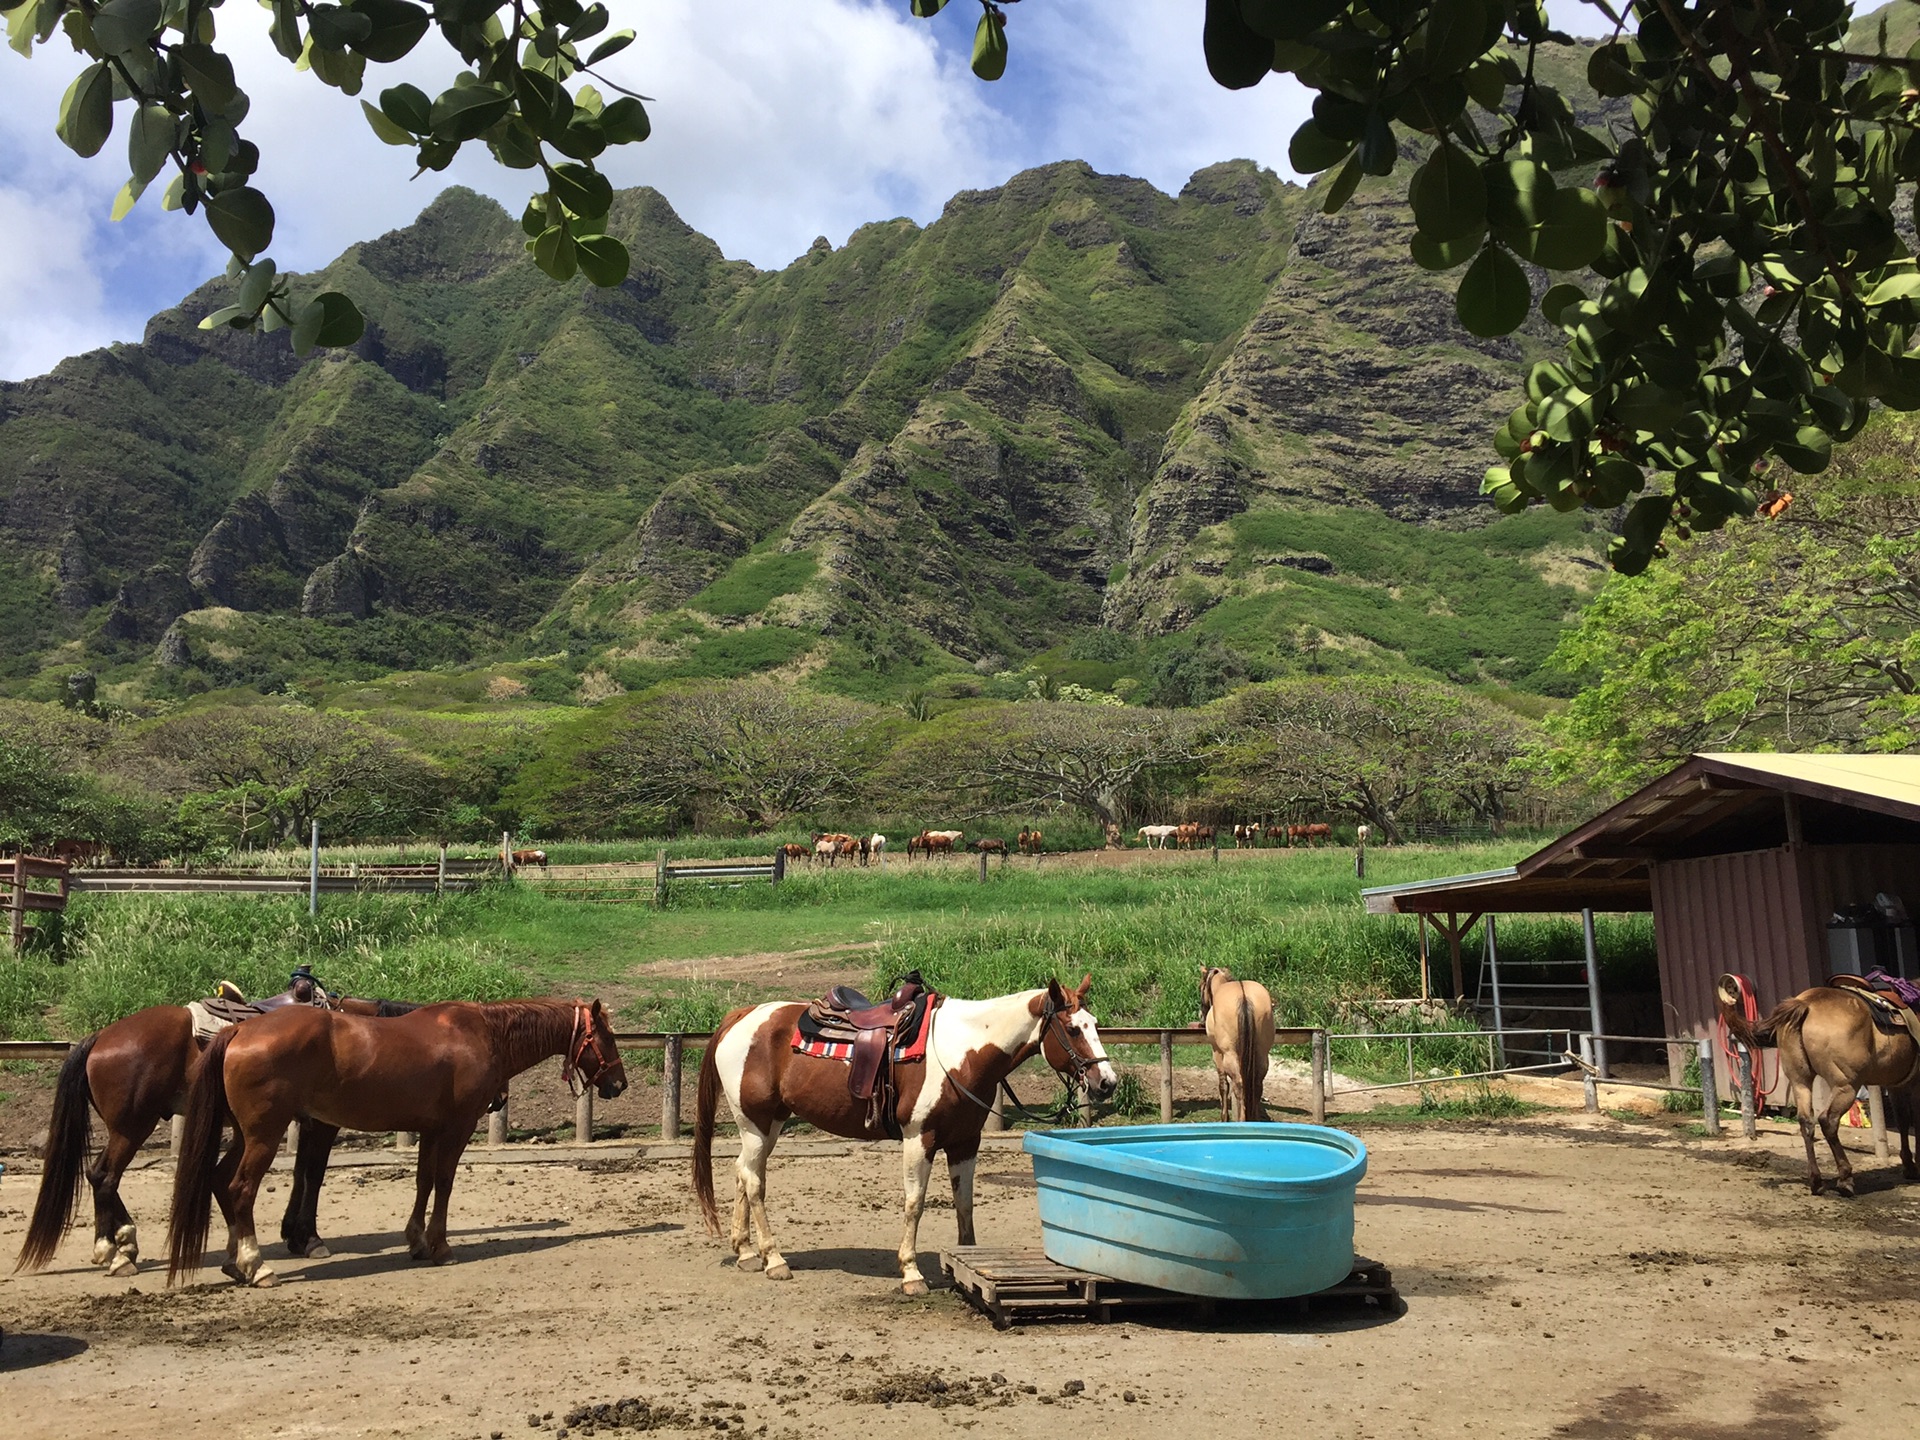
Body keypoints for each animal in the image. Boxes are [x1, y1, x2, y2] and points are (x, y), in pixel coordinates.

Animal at [17, 990, 416, 1282]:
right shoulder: (322, 1124)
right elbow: (312, 1174)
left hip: (129, 1129)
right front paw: (308, 1238)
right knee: (104, 1176)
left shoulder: (303, 1121)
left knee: (101, 1176)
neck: (354, 1035)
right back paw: (113, 1253)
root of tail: (101, 1037)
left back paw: (126, 1243)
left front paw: (295, 1235)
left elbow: (301, 1172)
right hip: (132, 1128)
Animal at [168, 998, 625, 1290]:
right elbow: (444, 1183)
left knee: (219, 1181)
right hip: (264, 1135)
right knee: (240, 1189)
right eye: (606, 1036)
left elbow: (423, 1182)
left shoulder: (430, 1130)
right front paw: (440, 1246)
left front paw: (417, 1241)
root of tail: (239, 1028)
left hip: (246, 1135)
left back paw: (234, 1262)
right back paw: (256, 1265)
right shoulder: (455, 1129)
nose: (620, 1084)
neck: (483, 1034)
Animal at [695, 983, 1121, 1297]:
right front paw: (912, 1273)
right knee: (754, 1182)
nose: (1107, 1082)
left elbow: (964, 1204)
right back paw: (774, 1260)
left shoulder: (966, 1141)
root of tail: (742, 1016)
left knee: (742, 1173)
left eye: (1095, 1023)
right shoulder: (920, 1138)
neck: (961, 1052)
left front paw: (964, 1265)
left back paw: (746, 1252)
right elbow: (914, 1205)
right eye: (1072, 1029)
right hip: (756, 1123)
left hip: (766, 1126)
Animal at [1198, 971, 1274, 1128]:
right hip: (1262, 1055)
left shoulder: (1217, 1053)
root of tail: (1244, 997)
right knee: (1257, 1085)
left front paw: (1224, 1117)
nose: (1201, 1016)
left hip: (1229, 1055)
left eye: (1201, 987)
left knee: (1238, 1085)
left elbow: (1223, 1086)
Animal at [1720, 975, 1912, 1198]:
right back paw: (1845, 1179)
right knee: (1828, 1120)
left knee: (1806, 1122)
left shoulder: (1898, 1084)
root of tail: (1806, 1004)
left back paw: (1817, 1181)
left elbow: (1903, 1119)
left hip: (1800, 1081)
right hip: (1846, 1086)